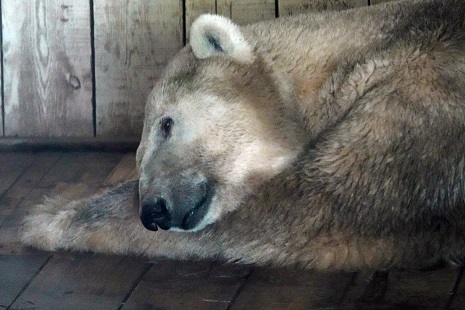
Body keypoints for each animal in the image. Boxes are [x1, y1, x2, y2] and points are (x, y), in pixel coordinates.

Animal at [22, 0, 465, 272]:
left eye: (166, 124)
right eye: (138, 155)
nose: (154, 211)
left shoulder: (423, 98)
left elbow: (311, 207)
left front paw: (48, 215)